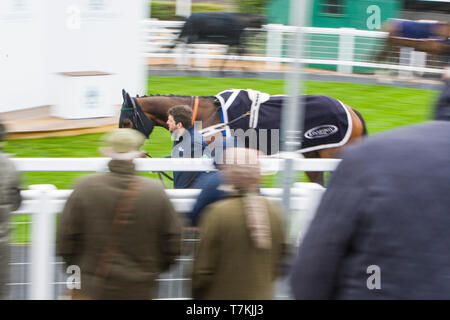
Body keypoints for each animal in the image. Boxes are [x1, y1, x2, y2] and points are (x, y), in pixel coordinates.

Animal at [118, 90, 368, 185]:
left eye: (127, 123)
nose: (132, 154)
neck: (206, 116)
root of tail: (351, 109)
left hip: (332, 155)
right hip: (313, 157)